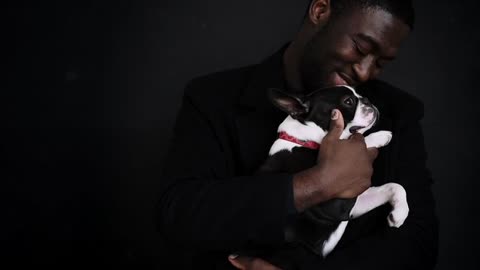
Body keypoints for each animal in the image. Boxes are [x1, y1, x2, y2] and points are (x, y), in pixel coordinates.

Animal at [248, 85, 408, 268]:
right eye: (348, 101)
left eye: (359, 94)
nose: (367, 100)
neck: (306, 141)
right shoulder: (334, 204)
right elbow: (354, 144)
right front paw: (378, 137)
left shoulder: (352, 202)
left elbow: (395, 186)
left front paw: (400, 213)